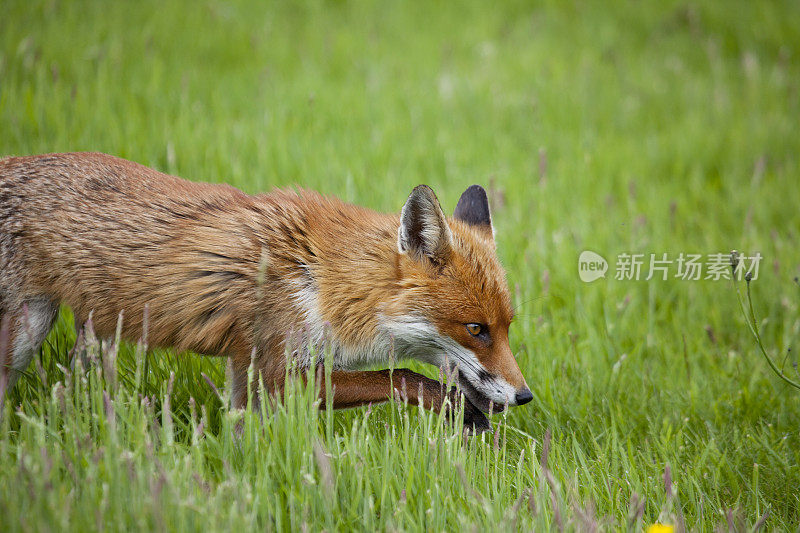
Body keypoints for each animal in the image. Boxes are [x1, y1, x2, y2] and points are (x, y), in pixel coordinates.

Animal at [0, 152, 532, 430]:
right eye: (476, 329)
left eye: (506, 327)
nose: (525, 396)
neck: (324, 281)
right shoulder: (278, 372)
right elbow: (401, 376)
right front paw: (460, 410)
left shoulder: (246, 373)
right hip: (22, 337)